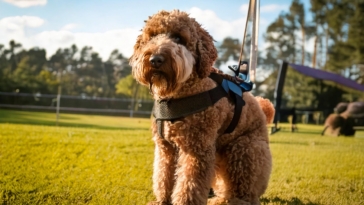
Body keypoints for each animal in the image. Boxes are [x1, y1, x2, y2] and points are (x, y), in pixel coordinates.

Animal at [130, 10, 272, 205]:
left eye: (178, 38)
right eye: (152, 36)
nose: (155, 59)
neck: (177, 95)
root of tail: (262, 108)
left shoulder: (197, 149)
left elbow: (189, 184)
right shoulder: (165, 148)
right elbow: (163, 176)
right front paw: (162, 200)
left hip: (244, 150)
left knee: (245, 192)